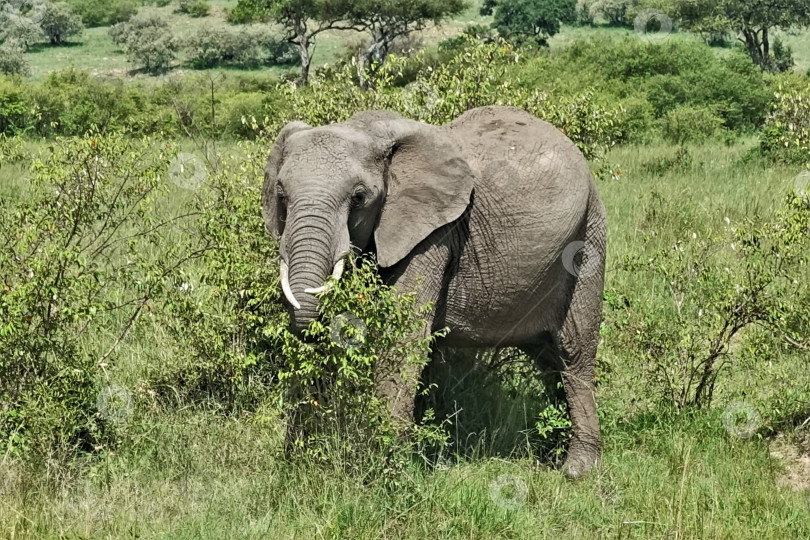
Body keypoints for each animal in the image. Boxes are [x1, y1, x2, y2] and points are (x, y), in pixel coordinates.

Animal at [262, 106, 604, 480]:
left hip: (588, 236)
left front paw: (388, 467)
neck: (366, 129)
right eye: (281, 196)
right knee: (546, 356)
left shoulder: (433, 233)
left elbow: (405, 338)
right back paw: (552, 451)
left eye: (359, 198)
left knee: (573, 351)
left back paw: (576, 469)